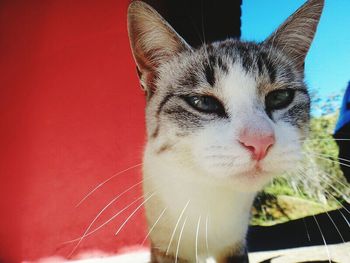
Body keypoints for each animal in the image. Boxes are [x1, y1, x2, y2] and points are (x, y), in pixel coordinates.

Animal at [127, 0, 324, 262]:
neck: (210, 196)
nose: (260, 141)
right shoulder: (166, 247)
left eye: (280, 97)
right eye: (202, 102)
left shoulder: (235, 245)